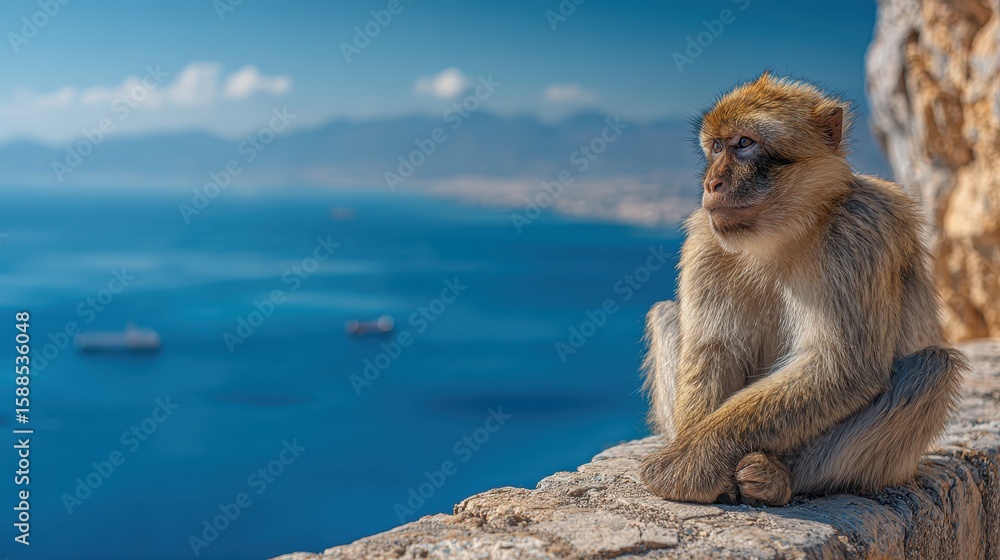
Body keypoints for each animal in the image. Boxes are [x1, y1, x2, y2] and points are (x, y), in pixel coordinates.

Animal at [638, 73, 969, 507]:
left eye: (744, 143)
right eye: (716, 147)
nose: (712, 183)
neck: (786, 233)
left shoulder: (859, 232)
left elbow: (841, 367)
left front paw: (691, 460)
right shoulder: (706, 241)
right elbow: (713, 349)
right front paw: (693, 449)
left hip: (891, 465)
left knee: (933, 368)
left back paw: (780, 478)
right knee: (667, 313)